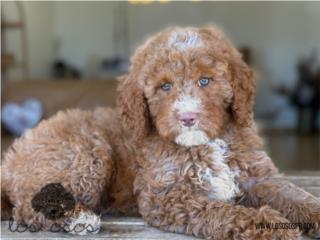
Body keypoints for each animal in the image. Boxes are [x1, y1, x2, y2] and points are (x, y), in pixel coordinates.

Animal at [1, 26, 318, 240]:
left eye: (205, 80)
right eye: (165, 86)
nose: (188, 117)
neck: (207, 143)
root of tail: (11, 159)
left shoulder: (259, 175)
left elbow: (293, 195)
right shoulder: (167, 196)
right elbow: (222, 210)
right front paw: (269, 226)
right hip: (87, 154)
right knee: (28, 208)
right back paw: (79, 219)